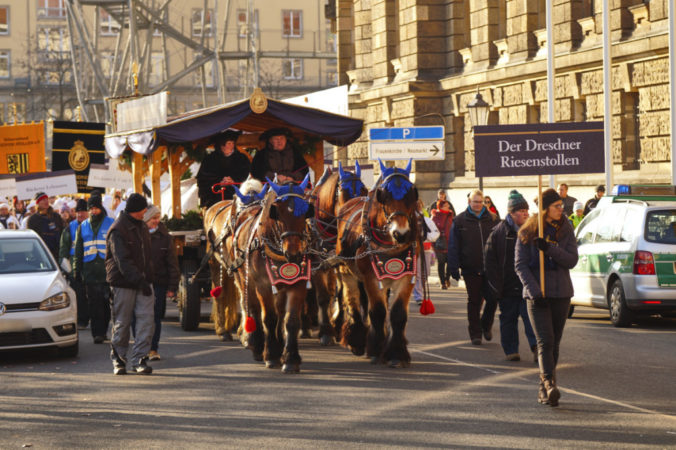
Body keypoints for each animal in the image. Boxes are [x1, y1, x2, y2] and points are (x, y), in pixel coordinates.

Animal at [231, 174, 316, 370]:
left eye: (305, 212)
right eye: (279, 213)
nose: (294, 253)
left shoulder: (298, 283)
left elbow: (290, 320)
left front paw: (291, 358)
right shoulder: (263, 284)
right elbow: (268, 318)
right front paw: (271, 355)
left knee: (280, 313)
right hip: (245, 279)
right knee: (252, 309)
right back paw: (256, 345)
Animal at [308, 162, 368, 344]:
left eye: (364, 190)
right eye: (343, 192)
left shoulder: (339, 261)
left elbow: (340, 292)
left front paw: (337, 323)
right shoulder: (317, 264)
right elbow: (322, 296)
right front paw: (326, 330)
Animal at [336, 160, 420, 368]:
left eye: (412, 193)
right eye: (383, 195)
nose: (401, 233)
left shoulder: (407, 277)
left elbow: (398, 314)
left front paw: (396, 353)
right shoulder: (371, 278)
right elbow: (378, 311)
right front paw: (375, 350)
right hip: (346, 270)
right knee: (352, 299)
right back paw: (357, 340)